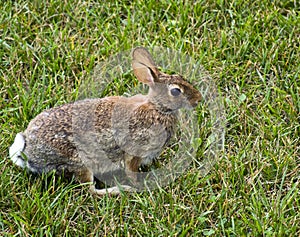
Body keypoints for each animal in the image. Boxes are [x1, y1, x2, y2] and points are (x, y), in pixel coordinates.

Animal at [9, 47, 202, 195]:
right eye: (176, 91)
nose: (198, 99)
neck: (157, 108)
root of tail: (29, 150)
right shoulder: (135, 152)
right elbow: (131, 171)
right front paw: (138, 186)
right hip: (80, 162)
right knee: (91, 191)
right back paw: (119, 190)